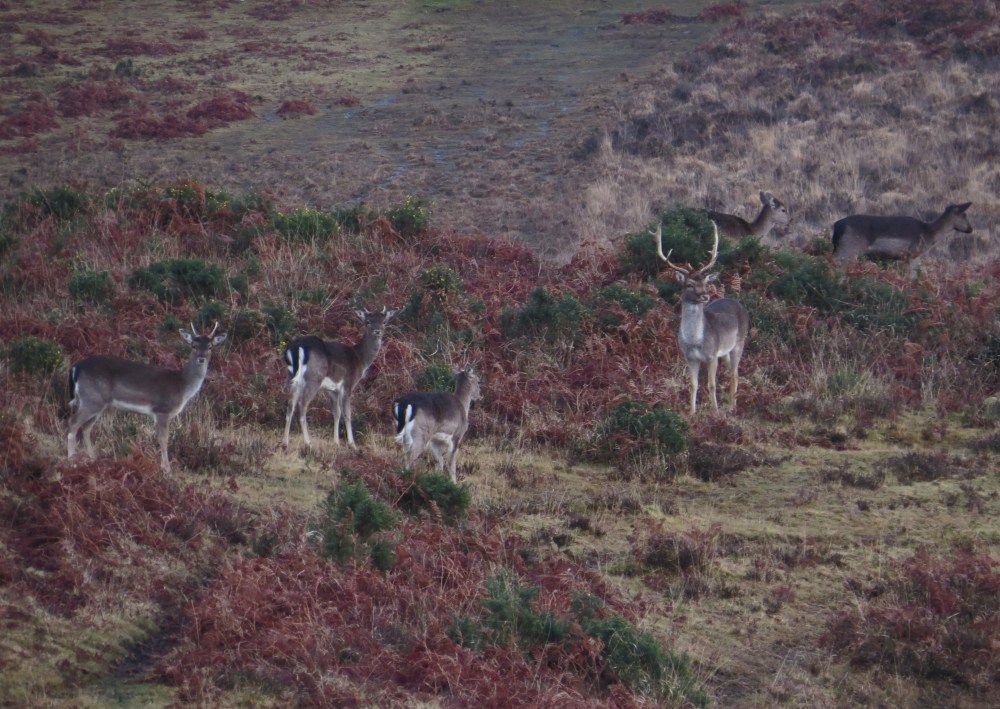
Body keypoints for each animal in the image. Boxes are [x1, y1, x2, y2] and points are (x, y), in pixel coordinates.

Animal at [67, 322, 228, 473]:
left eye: (211, 347)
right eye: (193, 345)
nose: (201, 358)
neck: (181, 386)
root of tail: (76, 368)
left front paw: (164, 468)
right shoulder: (162, 410)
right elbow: (164, 440)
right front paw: (166, 470)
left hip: (98, 403)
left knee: (86, 428)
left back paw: (93, 459)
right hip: (91, 399)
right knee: (73, 423)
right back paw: (72, 461)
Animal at [282, 306, 399, 450]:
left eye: (384, 322)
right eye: (367, 321)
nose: (377, 331)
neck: (360, 360)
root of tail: (296, 347)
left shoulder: (332, 389)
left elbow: (336, 413)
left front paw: (336, 442)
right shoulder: (348, 384)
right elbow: (347, 414)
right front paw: (352, 444)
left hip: (291, 377)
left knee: (290, 405)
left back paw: (284, 443)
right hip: (313, 378)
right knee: (302, 405)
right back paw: (308, 443)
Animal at [654, 220, 750, 415]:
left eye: (705, 282)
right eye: (689, 284)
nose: (705, 296)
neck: (695, 340)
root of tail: (741, 307)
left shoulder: (712, 355)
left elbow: (711, 384)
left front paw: (715, 411)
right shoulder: (690, 357)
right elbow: (693, 384)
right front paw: (692, 412)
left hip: (739, 342)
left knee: (735, 374)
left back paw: (731, 407)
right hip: (726, 350)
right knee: (731, 372)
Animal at [831, 202, 973, 263]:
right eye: (964, 215)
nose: (970, 229)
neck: (928, 234)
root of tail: (838, 225)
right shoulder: (910, 255)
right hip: (849, 249)